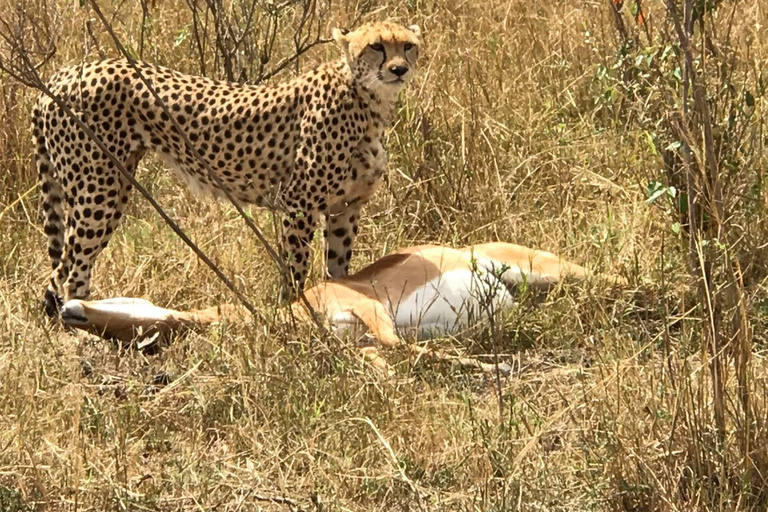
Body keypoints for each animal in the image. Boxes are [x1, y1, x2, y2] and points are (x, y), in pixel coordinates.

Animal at [31, 21, 420, 316]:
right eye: (376, 47)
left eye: (408, 46)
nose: (400, 69)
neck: (368, 100)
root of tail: (62, 74)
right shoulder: (299, 204)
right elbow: (295, 267)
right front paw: (295, 314)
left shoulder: (346, 208)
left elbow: (339, 269)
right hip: (98, 191)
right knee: (67, 272)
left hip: (113, 186)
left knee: (65, 269)